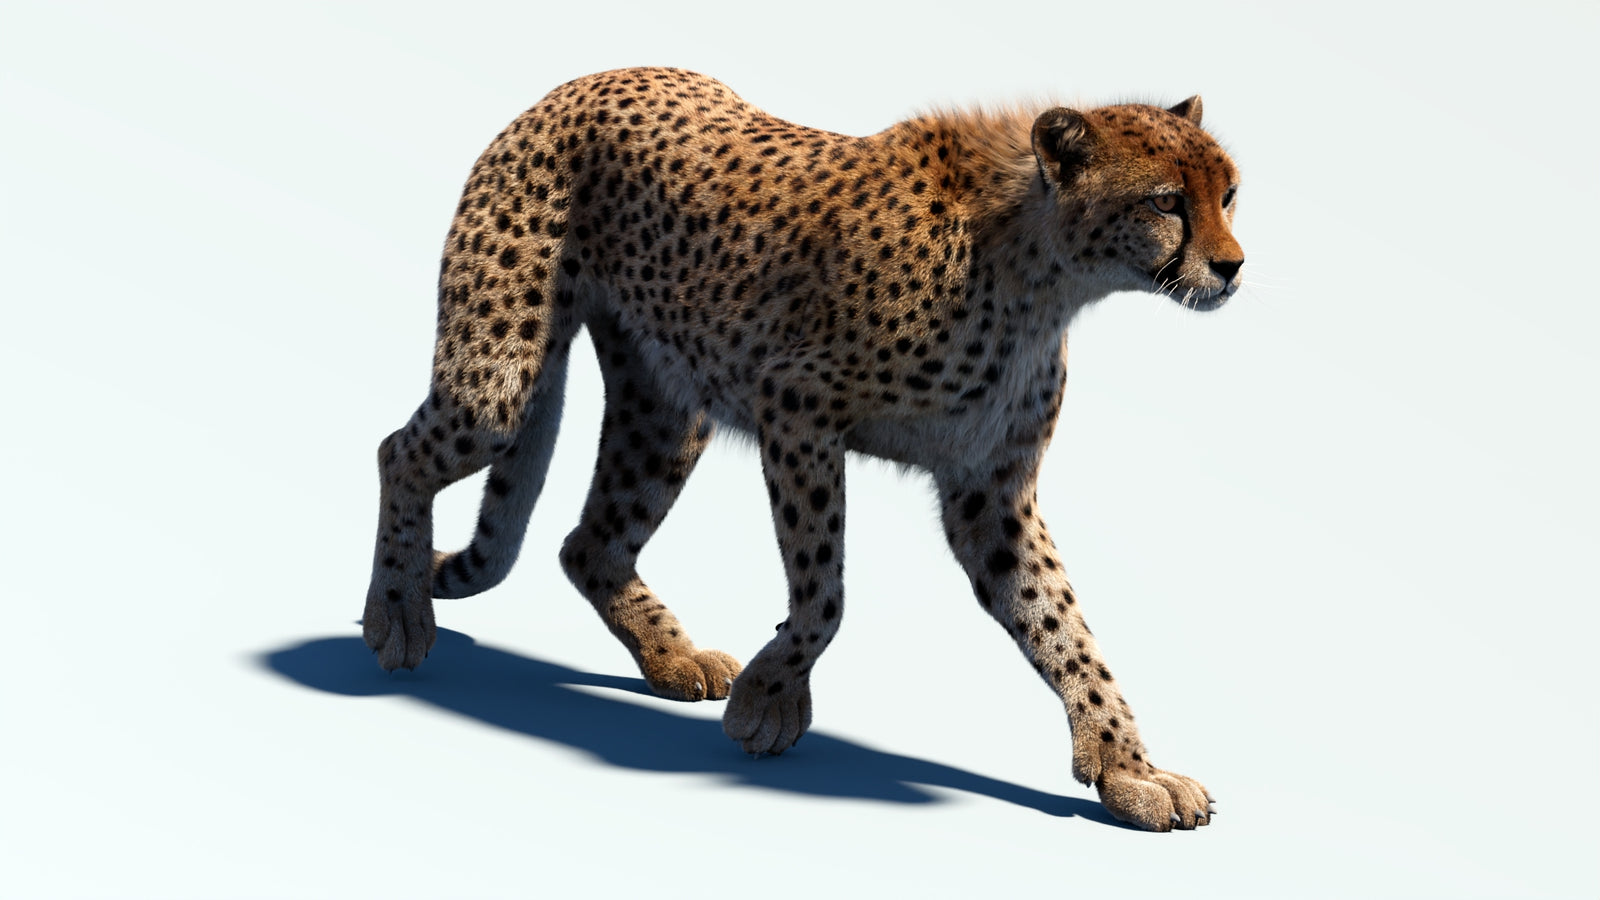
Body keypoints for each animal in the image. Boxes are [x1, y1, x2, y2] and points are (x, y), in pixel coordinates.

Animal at [362, 67, 1244, 832]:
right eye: (1167, 201)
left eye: (1230, 194)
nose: (1233, 266)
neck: (1043, 273)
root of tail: (590, 79)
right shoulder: (796, 408)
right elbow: (824, 592)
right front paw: (769, 700)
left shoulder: (988, 493)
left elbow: (1064, 627)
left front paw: (1128, 767)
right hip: (497, 385)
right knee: (397, 450)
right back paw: (396, 612)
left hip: (666, 411)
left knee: (589, 544)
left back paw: (672, 656)